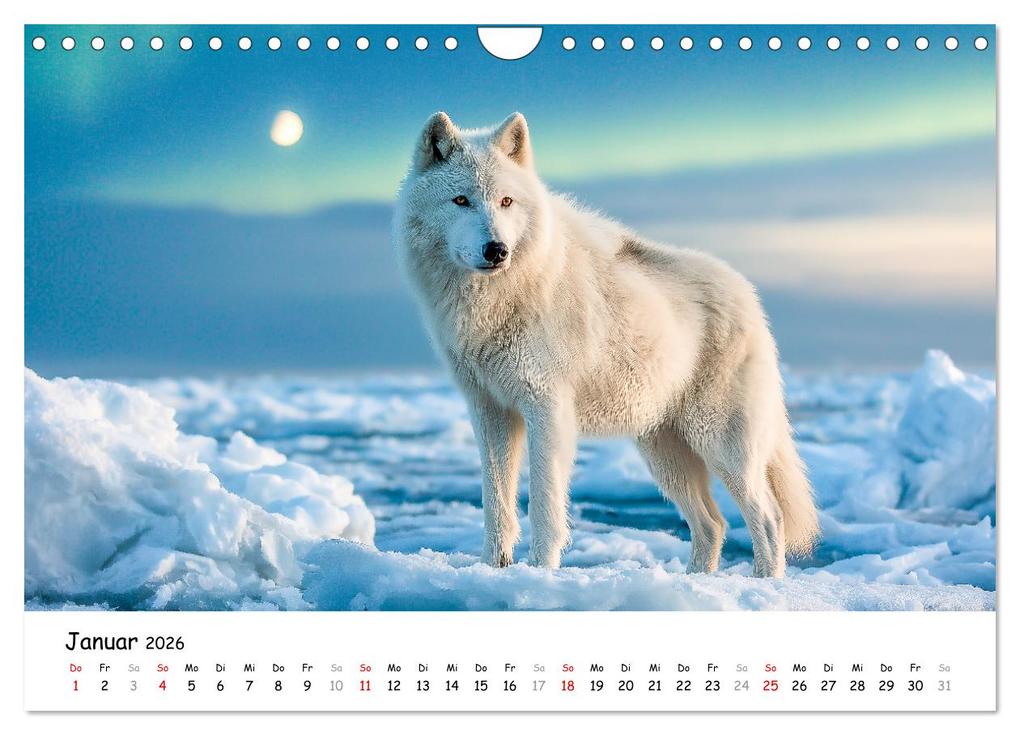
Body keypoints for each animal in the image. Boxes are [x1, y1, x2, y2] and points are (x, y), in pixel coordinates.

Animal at [392, 111, 819, 577]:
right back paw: (695, 581)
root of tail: (749, 296)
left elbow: (544, 506)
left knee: (768, 519)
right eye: (461, 200)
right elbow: (496, 506)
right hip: (665, 456)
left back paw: (763, 582)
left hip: (721, 445)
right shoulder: (490, 411)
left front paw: (540, 572)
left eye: (506, 202)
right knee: (713, 525)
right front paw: (493, 570)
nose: (497, 250)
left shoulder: (546, 407)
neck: (500, 299)